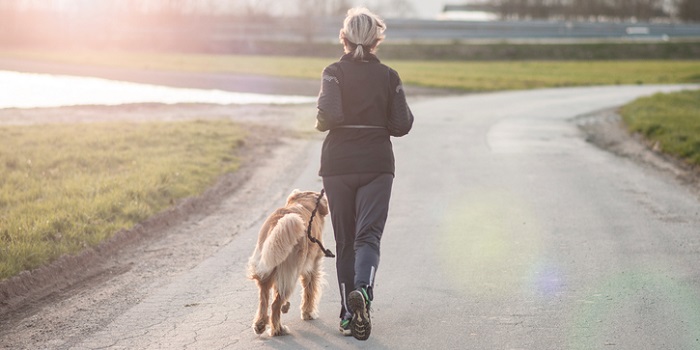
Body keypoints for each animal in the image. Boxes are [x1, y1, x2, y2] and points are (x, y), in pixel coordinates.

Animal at [247, 191, 330, 336]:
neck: (304, 203)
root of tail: (277, 222)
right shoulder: (312, 268)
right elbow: (309, 291)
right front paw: (308, 313)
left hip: (268, 270)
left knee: (264, 300)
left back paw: (260, 325)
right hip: (291, 272)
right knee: (275, 305)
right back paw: (278, 329)